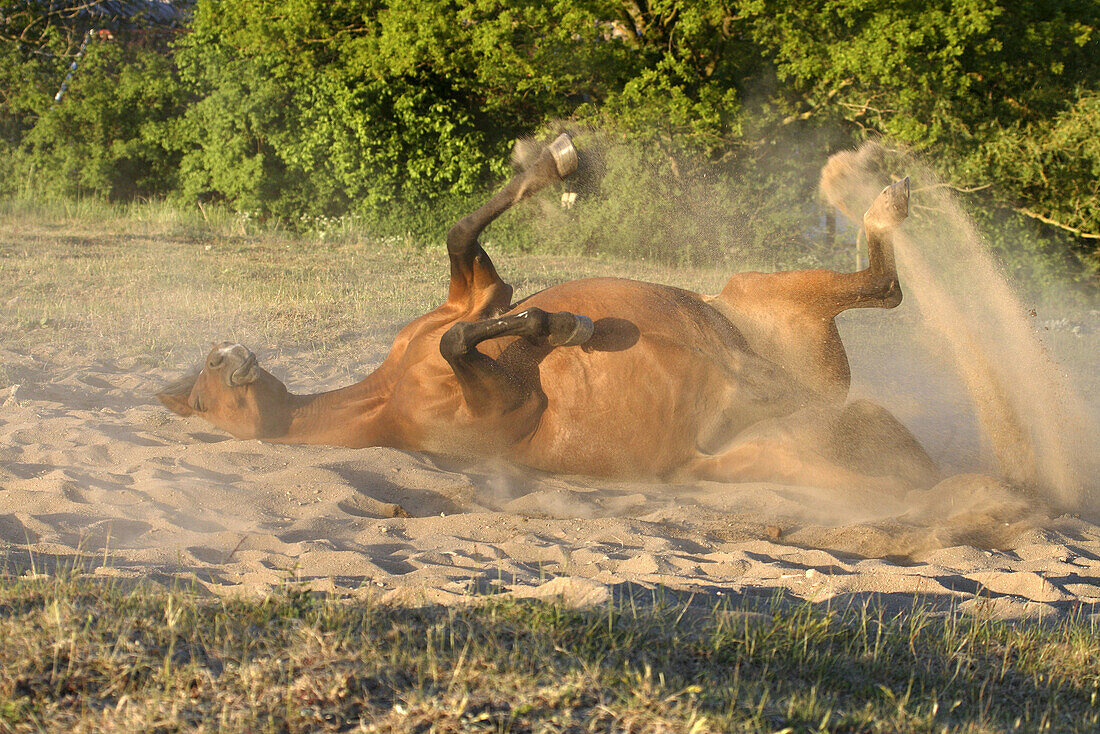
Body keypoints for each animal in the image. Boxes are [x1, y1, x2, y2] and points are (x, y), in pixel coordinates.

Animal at [159, 135, 941, 497]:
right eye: (203, 394)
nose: (229, 353)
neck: (384, 396)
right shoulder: (495, 401)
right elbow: (462, 340)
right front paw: (565, 326)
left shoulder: (479, 294)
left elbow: (460, 244)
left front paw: (553, 162)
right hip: (780, 441)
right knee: (881, 306)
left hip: (760, 295)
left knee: (882, 288)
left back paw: (883, 195)